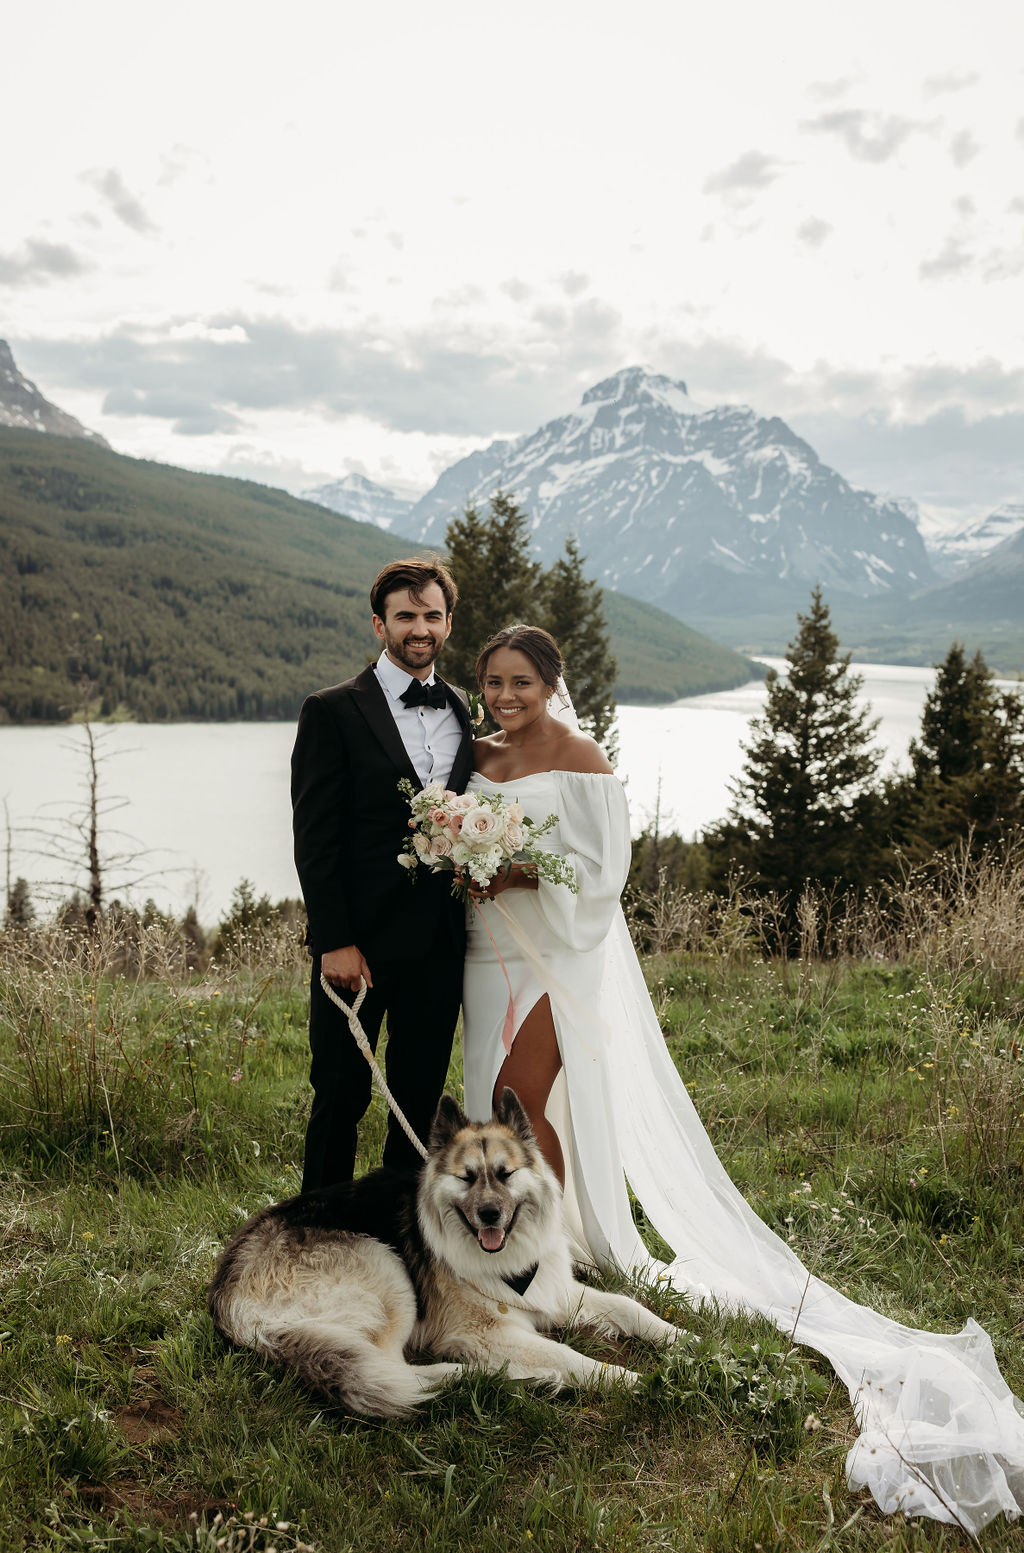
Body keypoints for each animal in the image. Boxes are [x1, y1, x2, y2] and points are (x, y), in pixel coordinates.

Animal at [209, 1087, 683, 1416]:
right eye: (466, 1178)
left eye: (505, 1174)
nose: (490, 1215)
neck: (503, 1261)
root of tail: (227, 1295)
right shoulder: (487, 1334)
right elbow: (572, 1357)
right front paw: (630, 1380)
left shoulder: (554, 1292)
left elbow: (629, 1307)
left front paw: (685, 1339)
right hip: (387, 1270)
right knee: (393, 1371)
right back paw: (482, 1377)